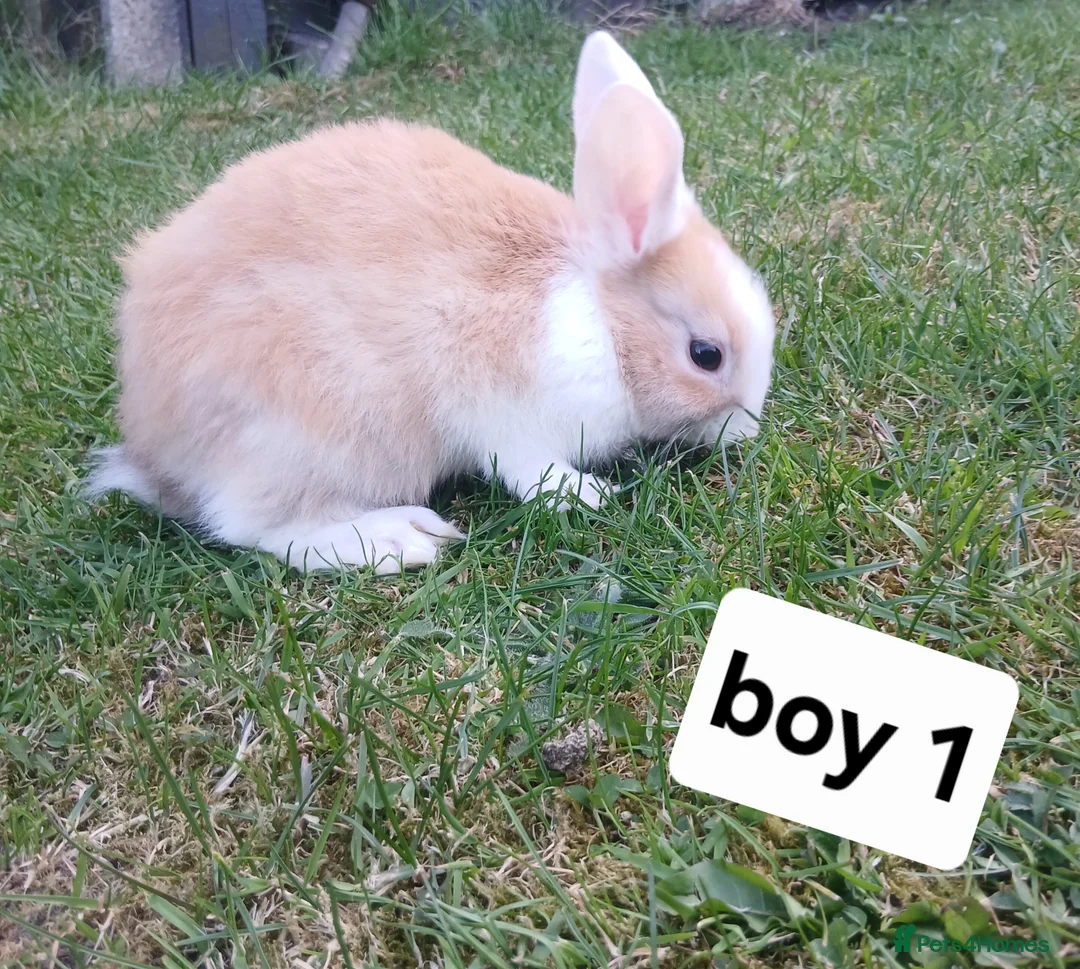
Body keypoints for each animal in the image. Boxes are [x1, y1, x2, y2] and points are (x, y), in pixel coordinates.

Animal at [85, 31, 775, 574]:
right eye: (706, 354)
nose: (745, 431)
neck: (603, 321)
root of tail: (156, 446)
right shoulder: (499, 407)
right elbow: (529, 467)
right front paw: (587, 494)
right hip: (312, 431)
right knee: (257, 527)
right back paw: (399, 539)